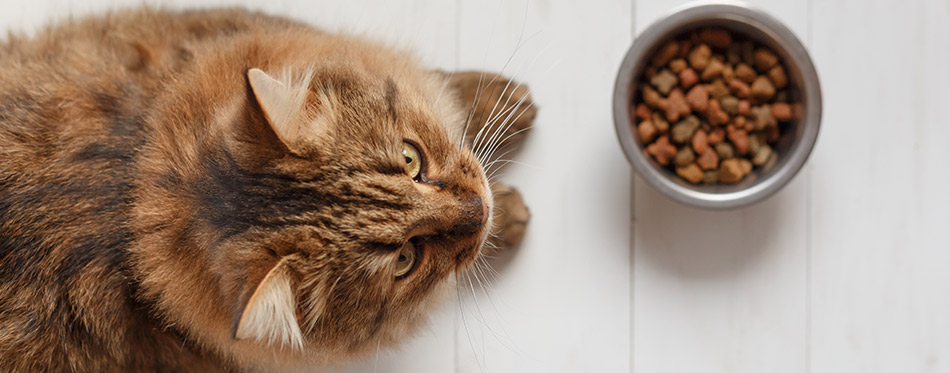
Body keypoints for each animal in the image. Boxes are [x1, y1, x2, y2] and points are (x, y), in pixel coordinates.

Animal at [0, 6, 536, 370]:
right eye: (406, 259)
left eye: (411, 159)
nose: (480, 208)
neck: (128, 191)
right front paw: (511, 216)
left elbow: (438, 85)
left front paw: (505, 102)